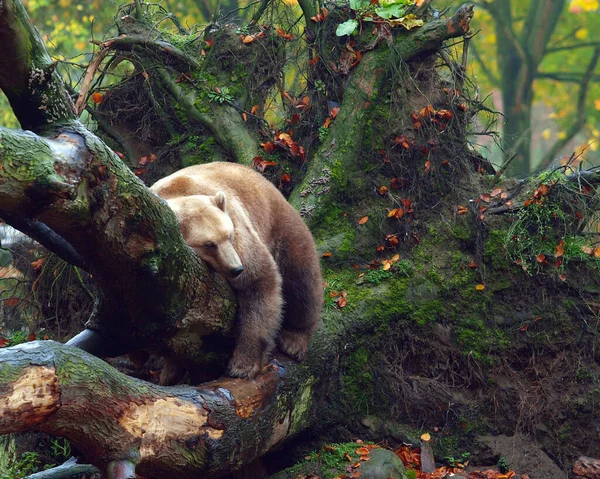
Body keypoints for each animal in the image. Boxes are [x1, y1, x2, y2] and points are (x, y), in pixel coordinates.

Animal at [150, 163, 324, 380]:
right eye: (209, 244)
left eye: (229, 235)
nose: (236, 269)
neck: (176, 193)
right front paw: (169, 370)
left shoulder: (238, 226)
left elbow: (258, 281)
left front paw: (243, 365)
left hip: (281, 225)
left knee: (301, 279)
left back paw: (294, 339)